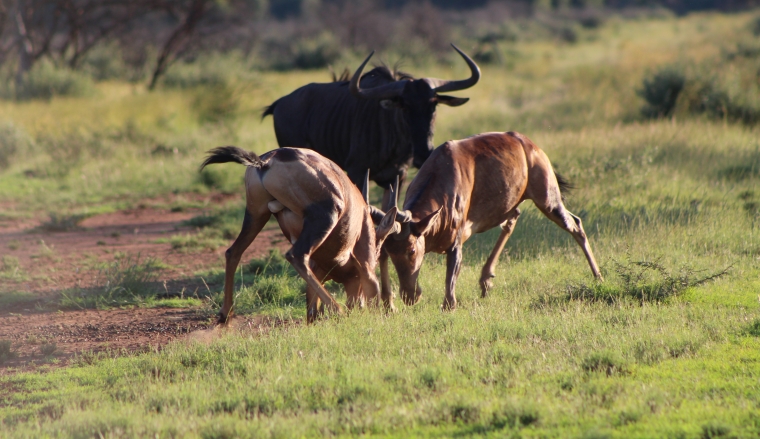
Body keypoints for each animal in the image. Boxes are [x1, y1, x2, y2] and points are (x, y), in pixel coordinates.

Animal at [202, 148, 400, 324]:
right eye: (377, 255)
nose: (357, 304)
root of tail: (266, 162)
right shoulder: (364, 267)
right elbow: (372, 287)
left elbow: (311, 311)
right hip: (325, 216)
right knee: (295, 255)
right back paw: (339, 312)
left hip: (256, 214)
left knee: (233, 252)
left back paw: (225, 315)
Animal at [382, 132, 604, 312]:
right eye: (391, 251)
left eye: (411, 250)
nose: (410, 296)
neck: (442, 170)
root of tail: (529, 144)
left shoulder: (456, 242)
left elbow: (451, 276)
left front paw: (449, 306)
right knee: (513, 218)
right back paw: (485, 281)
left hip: (548, 200)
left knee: (575, 224)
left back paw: (598, 277)